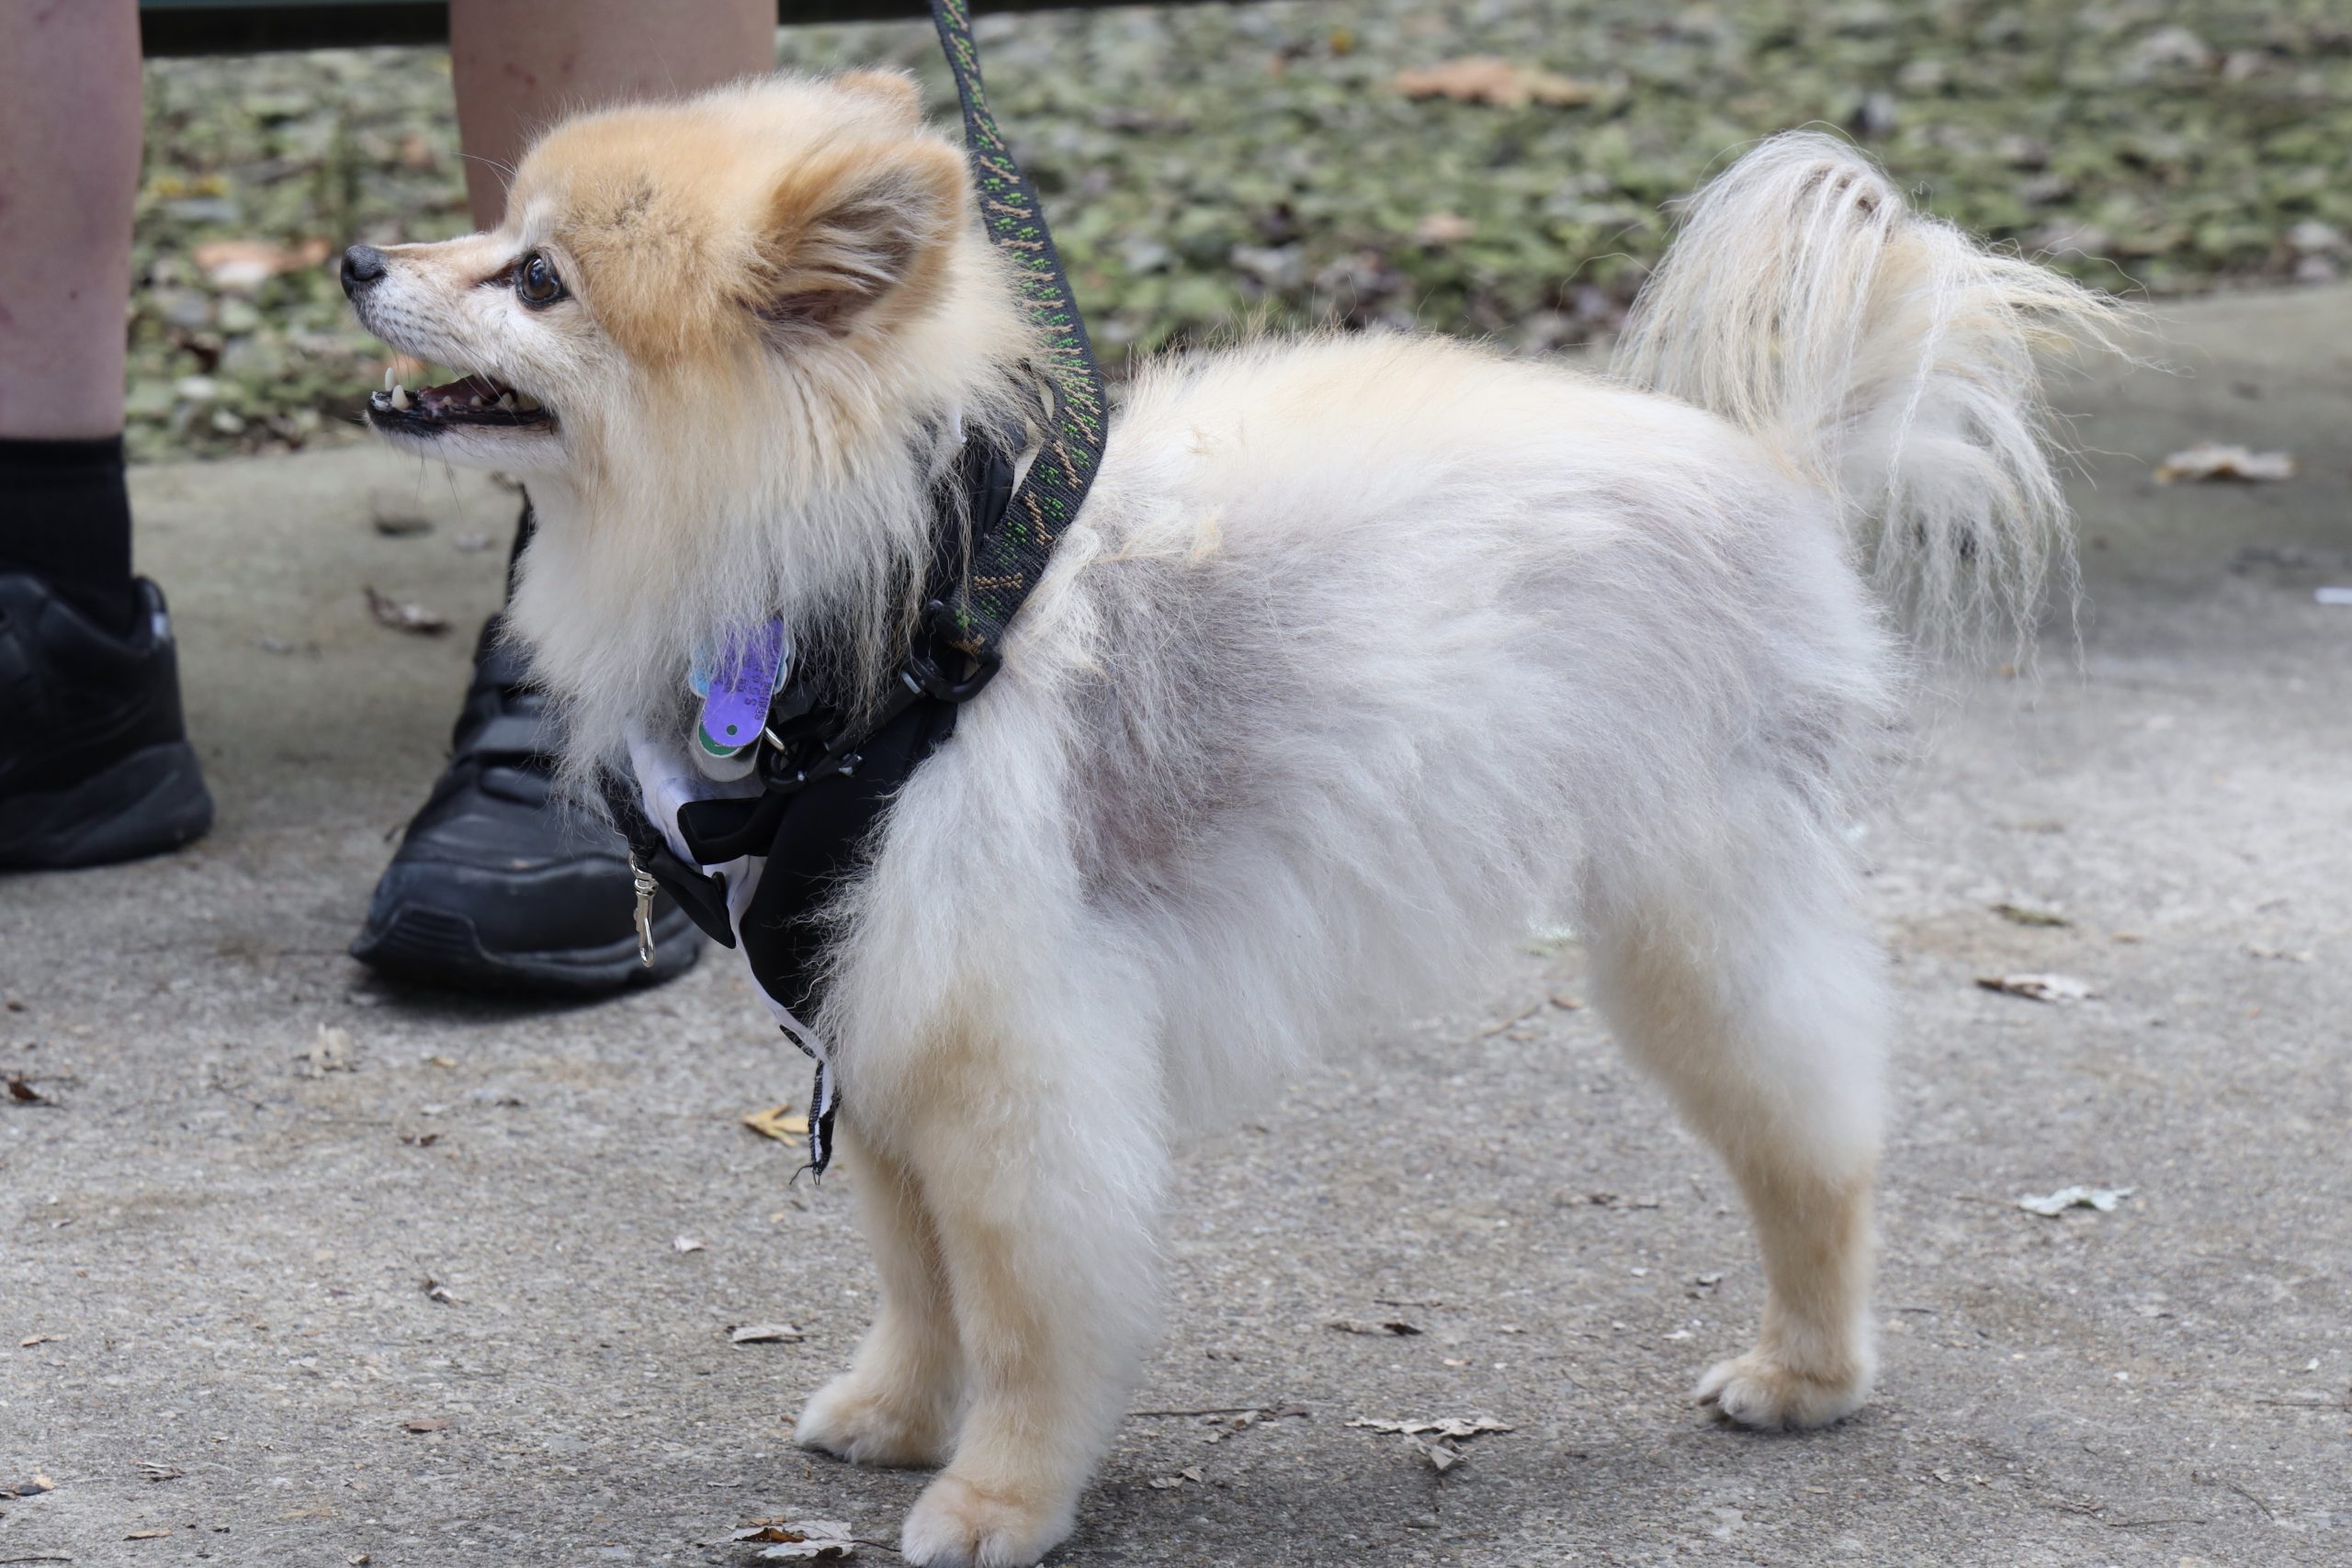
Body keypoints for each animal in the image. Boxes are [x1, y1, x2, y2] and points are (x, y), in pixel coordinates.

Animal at [345, 71, 2115, 1568]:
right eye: (495, 234)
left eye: (539, 279)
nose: (360, 254)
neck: (884, 604)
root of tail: (1773, 466)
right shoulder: (882, 1017)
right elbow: (916, 1276)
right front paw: (899, 1413)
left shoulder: (1011, 1056)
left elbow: (1023, 1312)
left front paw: (997, 1495)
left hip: (1698, 922)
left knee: (1817, 1146)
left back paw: (1807, 1368)